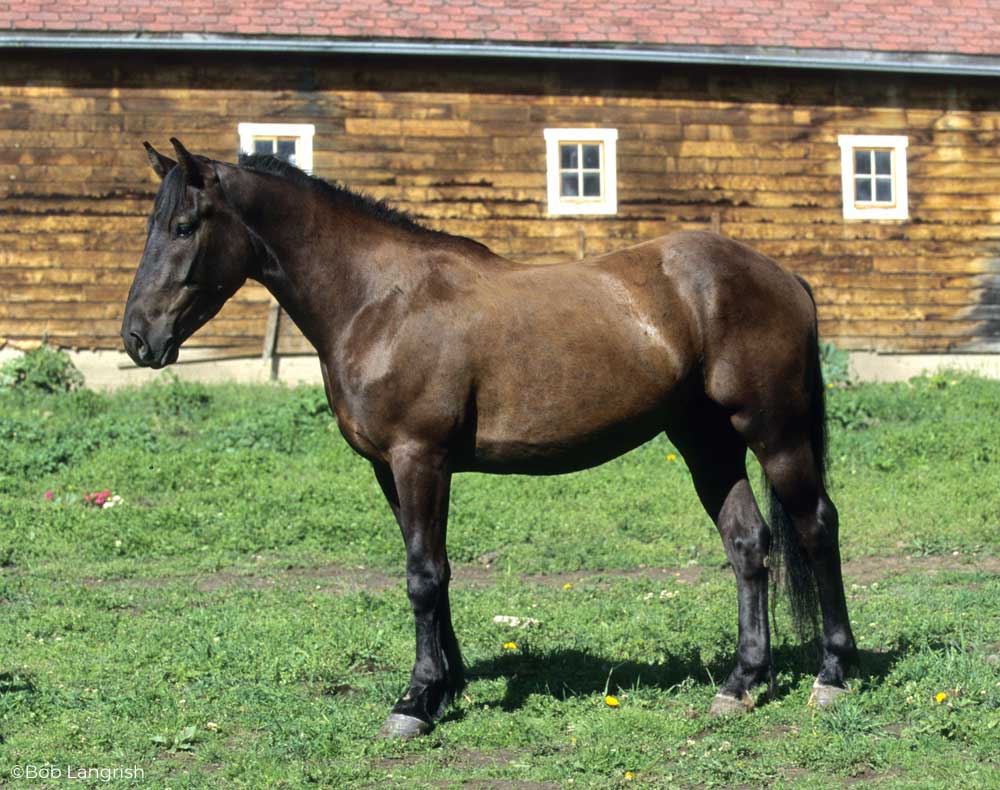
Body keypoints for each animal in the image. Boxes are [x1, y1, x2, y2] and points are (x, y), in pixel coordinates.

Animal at [121, 139, 860, 740]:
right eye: (151, 227)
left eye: (184, 226)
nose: (137, 338)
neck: (380, 301)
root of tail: (783, 276)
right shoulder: (392, 470)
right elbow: (434, 571)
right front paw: (446, 688)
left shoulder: (419, 458)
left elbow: (423, 576)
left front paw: (415, 702)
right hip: (706, 441)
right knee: (748, 543)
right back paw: (743, 683)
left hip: (774, 434)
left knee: (816, 526)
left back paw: (832, 674)